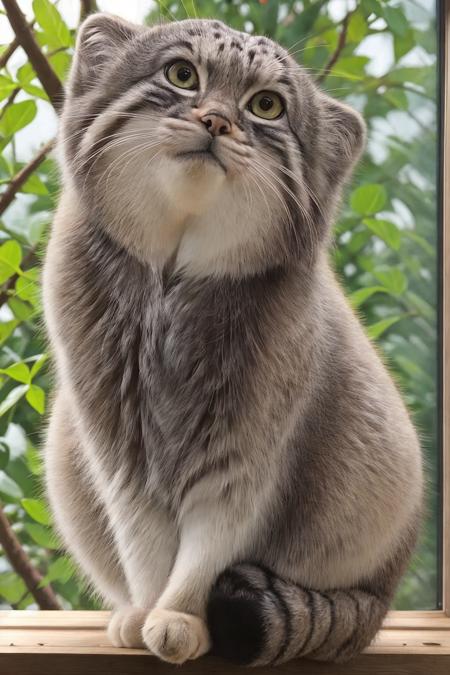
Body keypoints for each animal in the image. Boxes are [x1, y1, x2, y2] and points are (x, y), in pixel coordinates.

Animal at [42, 13, 422, 668]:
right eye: (181, 74)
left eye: (266, 105)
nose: (216, 120)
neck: (171, 279)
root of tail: (383, 596)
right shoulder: (118, 445)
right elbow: (143, 539)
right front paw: (148, 609)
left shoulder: (247, 454)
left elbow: (209, 543)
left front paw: (177, 617)